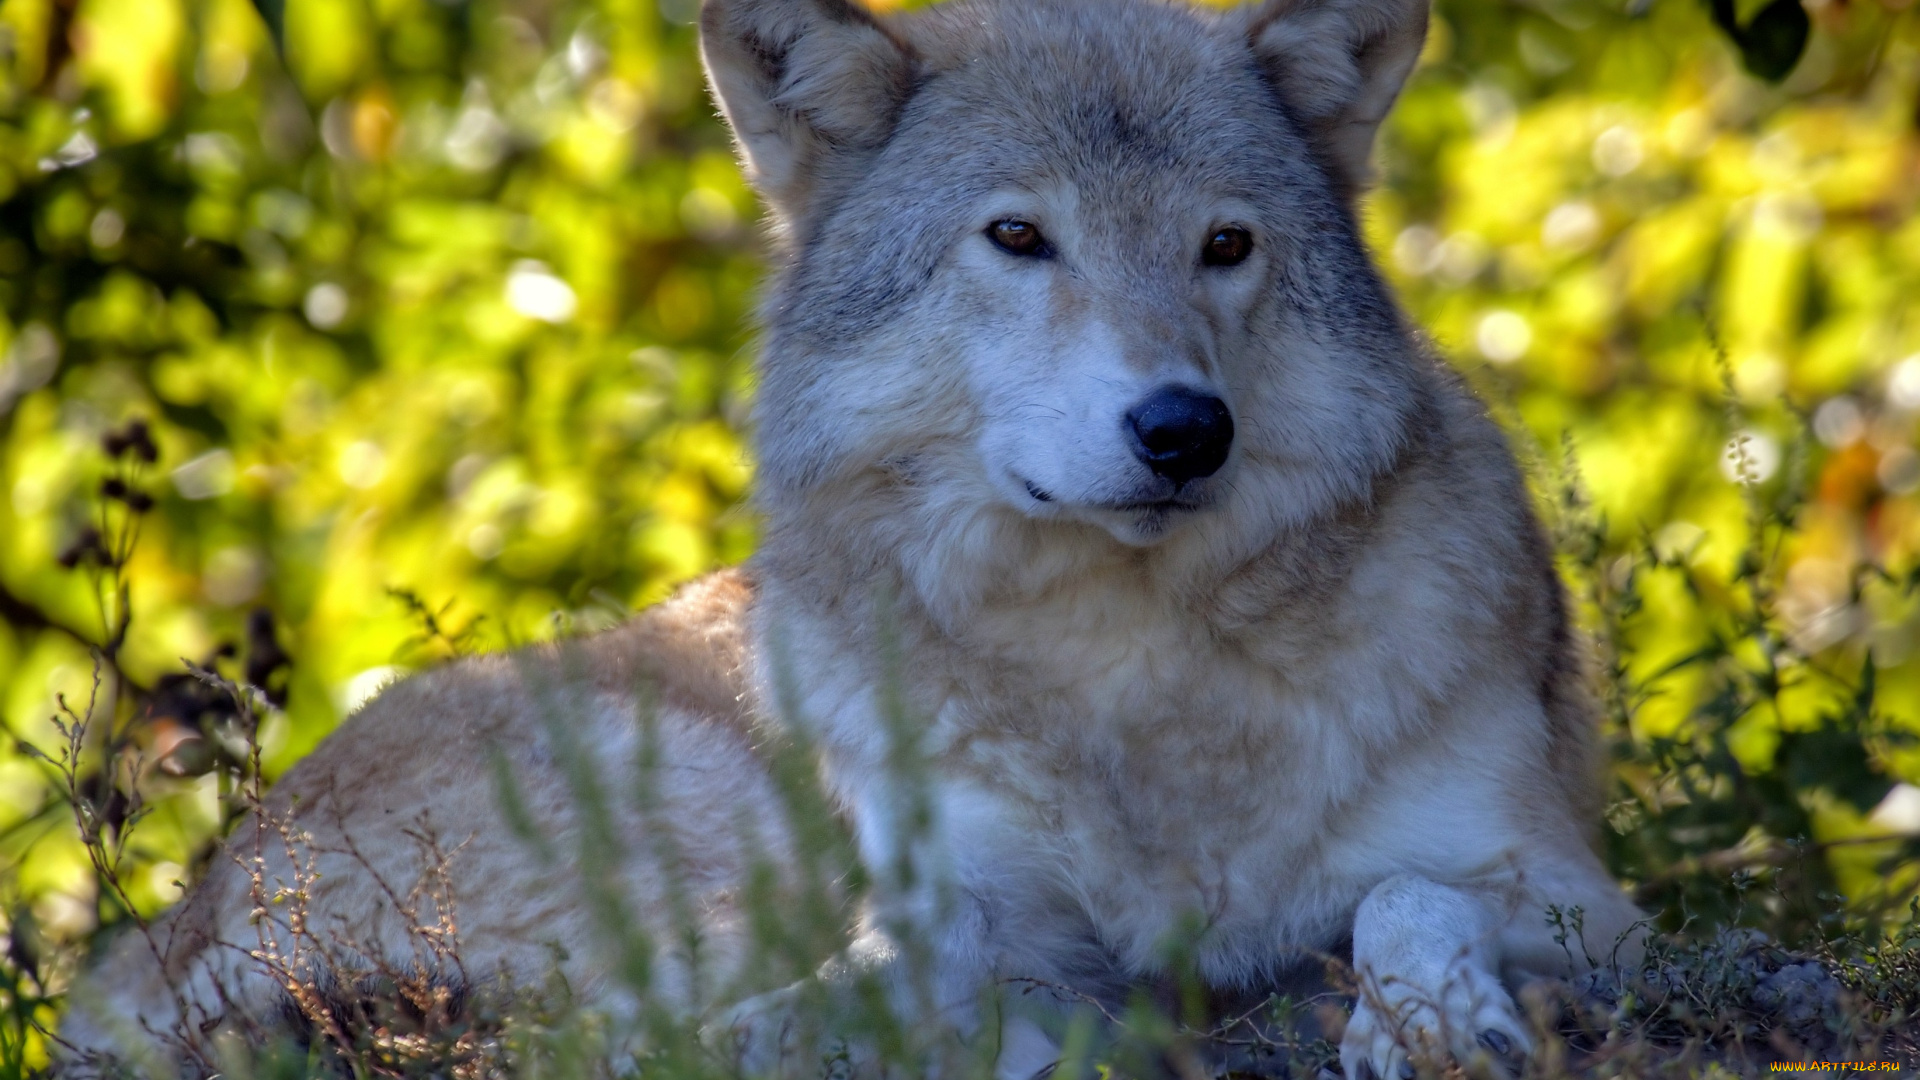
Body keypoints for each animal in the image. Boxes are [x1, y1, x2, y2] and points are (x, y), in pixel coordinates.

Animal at [63, 0, 1651, 1068]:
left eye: (1226, 247)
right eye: (1019, 238)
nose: (1185, 430)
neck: (1133, 681)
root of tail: (162, 935)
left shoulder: (1572, 892)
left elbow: (1405, 895)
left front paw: (1429, 1020)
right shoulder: (959, 915)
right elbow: (878, 991)